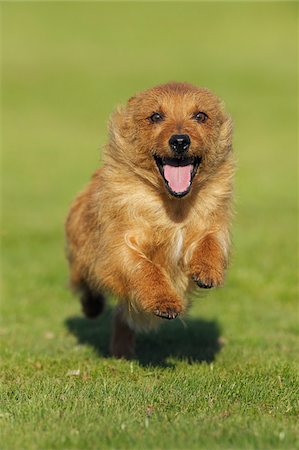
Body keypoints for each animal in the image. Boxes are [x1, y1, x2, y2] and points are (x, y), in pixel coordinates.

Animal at [65, 81, 234, 358]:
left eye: (200, 116)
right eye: (156, 116)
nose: (180, 140)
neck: (174, 207)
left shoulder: (211, 223)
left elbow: (211, 240)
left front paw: (207, 270)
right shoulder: (121, 244)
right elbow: (145, 268)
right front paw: (164, 301)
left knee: (122, 317)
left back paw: (122, 349)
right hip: (81, 255)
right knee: (86, 283)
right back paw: (92, 307)